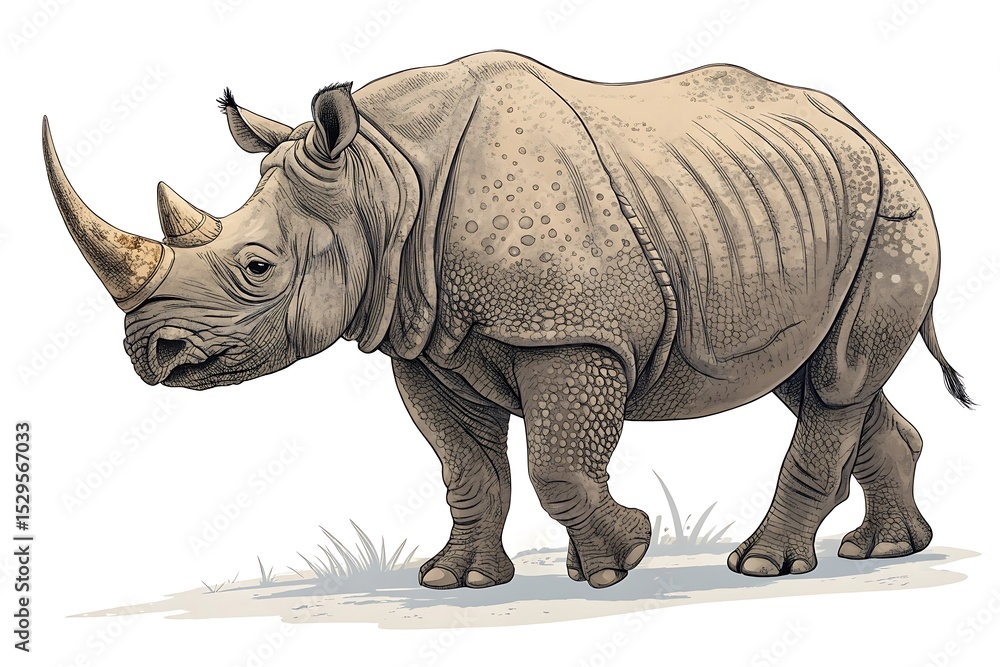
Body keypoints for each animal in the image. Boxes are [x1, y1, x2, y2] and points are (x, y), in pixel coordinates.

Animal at [43, 51, 971, 590]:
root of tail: (870, 131)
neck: (384, 178)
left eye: (258, 267)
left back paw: (763, 566)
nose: (149, 351)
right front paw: (455, 581)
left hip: (892, 210)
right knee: (815, 376)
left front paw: (620, 561)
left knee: (836, 378)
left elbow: (558, 461)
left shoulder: (572, 329)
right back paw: (885, 551)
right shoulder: (422, 341)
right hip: (801, 210)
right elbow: (466, 467)